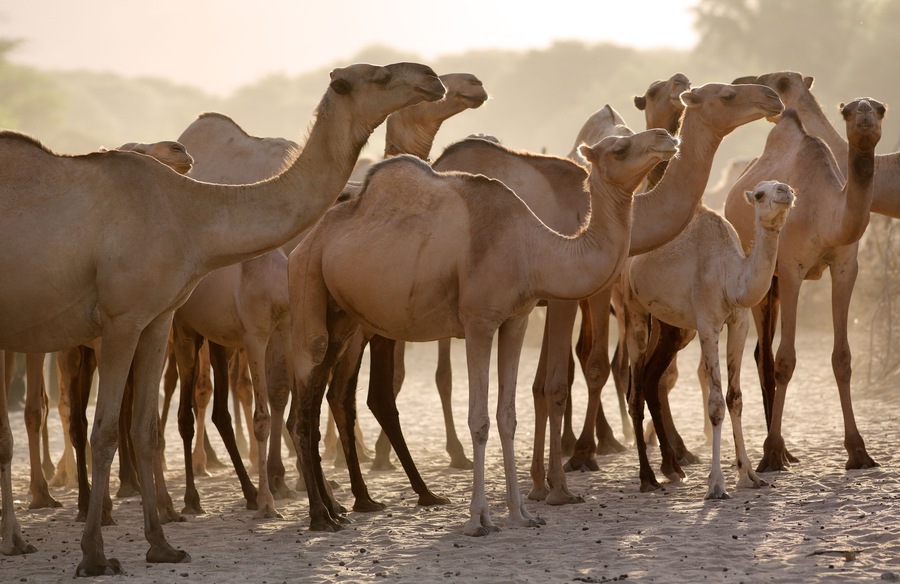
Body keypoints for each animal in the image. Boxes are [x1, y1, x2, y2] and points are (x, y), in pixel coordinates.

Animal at [0, 61, 445, 575]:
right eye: (378, 75)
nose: (432, 77)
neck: (188, 214)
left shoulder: (157, 318)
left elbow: (145, 428)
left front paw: (162, 545)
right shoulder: (121, 318)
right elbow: (106, 430)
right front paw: (94, 556)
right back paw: (23, 535)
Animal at [171, 72, 486, 519]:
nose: (473, 84)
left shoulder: (356, 327)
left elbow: (345, 396)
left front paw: (345, 490)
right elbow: (308, 395)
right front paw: (294, 484)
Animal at [287, 127, 678, 536]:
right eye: (620, 147)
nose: (666, 137)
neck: (532, 248)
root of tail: (305, 241)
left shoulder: (516, 319)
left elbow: (507, 415)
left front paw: (521, 513)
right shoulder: (479, 322)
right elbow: (479, 419)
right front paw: (479, 519)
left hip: (344, 317)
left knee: (319, 396)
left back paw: (339, 509)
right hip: (307, 281)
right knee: (305, 398)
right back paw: (321, 515)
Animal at [622, 180, 794, 495]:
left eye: (782, 185)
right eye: (759, 194)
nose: (784, 190)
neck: (731, 277)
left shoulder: (739, 323)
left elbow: (735, 398)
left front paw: (749, 475)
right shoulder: (708, 324)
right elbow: (715, 403)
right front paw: (716, 484)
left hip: (673, 326)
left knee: (652, 378)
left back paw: (673, 468)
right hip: (633, 307)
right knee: (635, 391)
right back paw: (647, 477)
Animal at [723, 98, 885, 473]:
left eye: (880, 108)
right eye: (848, 111)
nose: (865, 109)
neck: (825, 213)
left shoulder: (846, 267)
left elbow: (843, 358)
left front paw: (858, 452)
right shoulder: (791, 269)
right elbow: (785, 360)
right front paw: (770, 453)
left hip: (774, 285)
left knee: (761, 352)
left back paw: (787, 451)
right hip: (763, 278)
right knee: (766, 356)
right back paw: (775, 451)